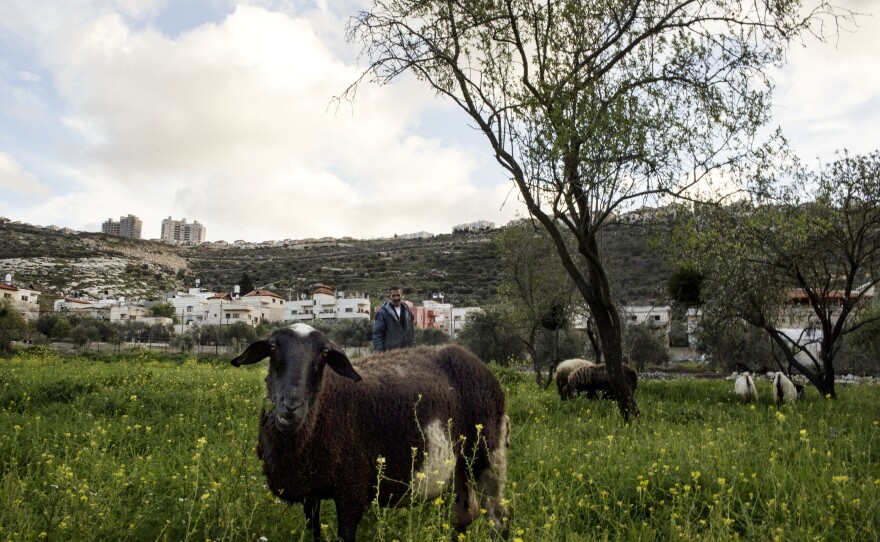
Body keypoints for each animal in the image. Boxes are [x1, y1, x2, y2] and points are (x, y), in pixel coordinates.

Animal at [230, 326, 512, 542]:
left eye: (324, 354)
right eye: (273, 348)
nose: (291, 406)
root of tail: (471, 358)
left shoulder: (352, 492)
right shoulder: (311, 492)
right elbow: (313, 532)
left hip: (488, 455)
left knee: (499, 518)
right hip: (461, 465)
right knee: (464, 514)